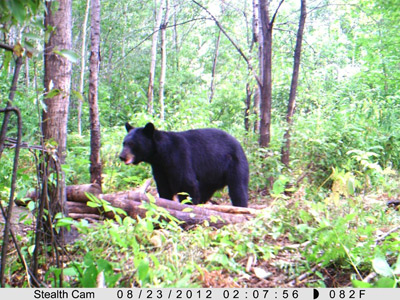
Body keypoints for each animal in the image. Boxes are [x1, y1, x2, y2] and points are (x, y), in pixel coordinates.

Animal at [119, 122, 248, 206]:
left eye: (132, 144)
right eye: (124, 143)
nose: (121, 156)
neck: (161, 155)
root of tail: (239, 144)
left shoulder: (179, 158)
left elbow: (186, 184)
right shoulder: (160, 168)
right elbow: (164, 187)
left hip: (235, 164)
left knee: (238, 188)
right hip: (212, 176)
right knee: (205, 190)